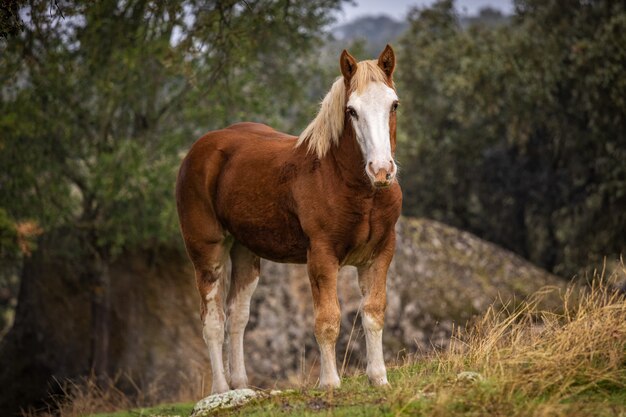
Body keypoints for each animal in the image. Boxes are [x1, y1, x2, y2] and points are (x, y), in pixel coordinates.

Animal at [173, 45, 402, 394]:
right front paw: (330, 383)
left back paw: (241, 386)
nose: (381, 170)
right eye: (351, 111)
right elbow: (327, 320)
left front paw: (379, 378)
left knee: (237, 315)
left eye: (393, 104)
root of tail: (200, 150)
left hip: (245, 252)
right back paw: (222, 390)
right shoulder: (321, 257)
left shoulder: (380, 253)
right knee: (213, 320)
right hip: (207, 252)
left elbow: (373, 313)